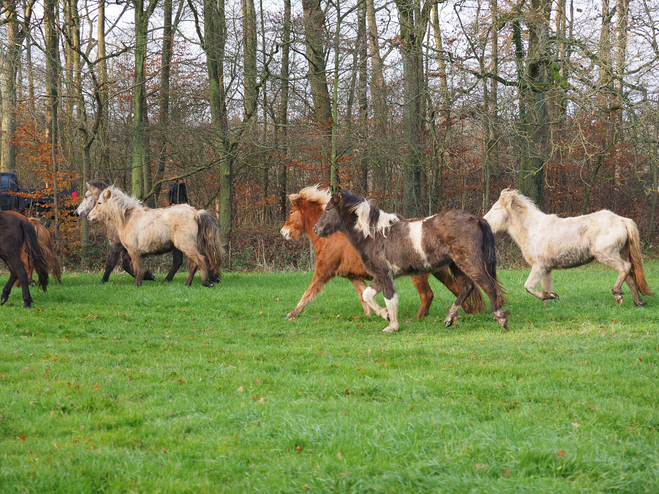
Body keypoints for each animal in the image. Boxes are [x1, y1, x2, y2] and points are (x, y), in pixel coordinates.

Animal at [87, 185, 224, 288]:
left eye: (99, 202)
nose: (89, 217)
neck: (128, 219)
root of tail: (195, 213)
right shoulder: (127, 251)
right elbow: (133, 267)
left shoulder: (132, 251)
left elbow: (137, 269)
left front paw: (138, 284)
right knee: (193, 264)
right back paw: (187, 284)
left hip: (186, 245)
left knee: (201, 260)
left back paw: (206, 283)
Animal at [278, 186, 484, 320]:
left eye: (291, 212)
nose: (283, 232)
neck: (335, 237)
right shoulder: (354, 276)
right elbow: (363, 296)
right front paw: (373, 315)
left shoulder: (324, 271)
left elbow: (307, 294)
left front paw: (291, 314)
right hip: (438, 270)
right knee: (457, 288)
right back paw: (465, 312)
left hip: (419, 275)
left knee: (428, 295)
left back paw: (418, 318)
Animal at [314, 191, 510, 334]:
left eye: (329, 209)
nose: (316, 229)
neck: (375, 235)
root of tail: (477, 219)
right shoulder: (381, 275)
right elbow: (367, 295)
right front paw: (385, 316)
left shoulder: (384, 275)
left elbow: (390, 299)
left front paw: (392, 326)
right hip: (456, 265)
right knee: (466, 287)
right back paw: (449, 319)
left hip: (469, 261)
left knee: (488, 285)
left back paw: (501, 318)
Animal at [484, 188, 656, 304]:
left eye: (496, 208)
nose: (484, 221)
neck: (532, 229)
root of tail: (622, 220)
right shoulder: (546, 269)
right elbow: (545, 289)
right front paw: (549, 298)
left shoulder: (539, 266)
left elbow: (529, 287)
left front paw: (552, 296)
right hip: (621, 253)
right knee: (631, 277)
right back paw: (638, 302)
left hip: (606, 254)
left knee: (625, 268)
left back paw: (617, 293)